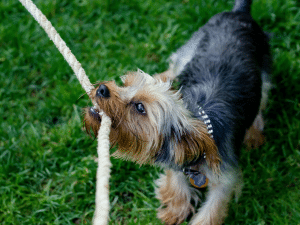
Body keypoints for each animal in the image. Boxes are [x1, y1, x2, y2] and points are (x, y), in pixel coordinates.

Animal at [84, 0, 272, 223]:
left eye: (140, 108)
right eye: (125, 84)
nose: (102, 89)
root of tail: (238, 13)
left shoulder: (225, 179)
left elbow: (211, 211)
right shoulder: (177, 160)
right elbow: (177, 183)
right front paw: (175, 210)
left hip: (264, 73)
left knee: (262, 99)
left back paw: (254, 133)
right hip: (189, 51)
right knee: (174, 67)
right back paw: (163, 77)